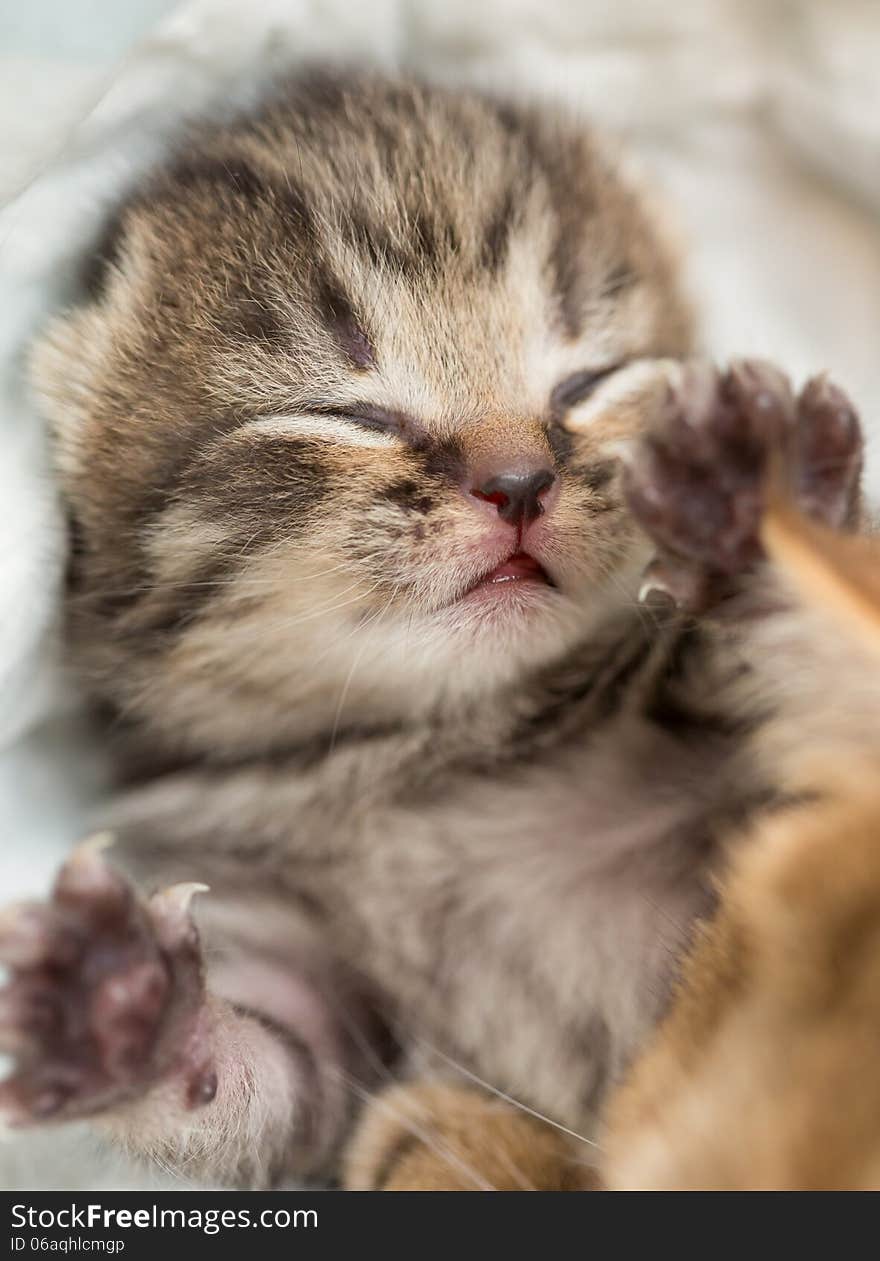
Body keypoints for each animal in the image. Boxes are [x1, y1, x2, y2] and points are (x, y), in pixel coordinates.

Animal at [0, 73, 862, 1185]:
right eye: (350, 414)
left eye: (587, 383)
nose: (519, 480)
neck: (424, 749)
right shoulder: (307, 970)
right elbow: (265, 1079)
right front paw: (122, 1010)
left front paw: (769, 502)